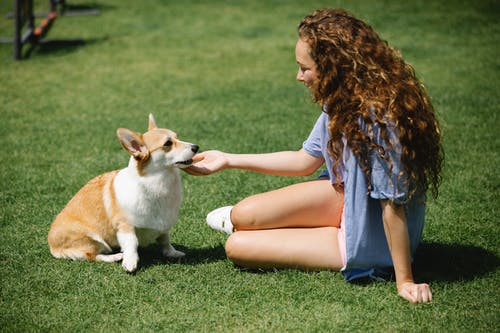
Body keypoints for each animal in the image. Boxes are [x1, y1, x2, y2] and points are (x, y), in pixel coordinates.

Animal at [47, 114, 199, 272]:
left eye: (178, 137)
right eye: (168, 143)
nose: (196, 147)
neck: (159, 182)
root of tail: (52, 246)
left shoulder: (164, 225)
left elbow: (165, 239)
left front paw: (171, 252)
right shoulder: (125, 226)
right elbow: (132, 243)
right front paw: (130, 262)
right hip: (93, 240)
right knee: (92, 255)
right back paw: (115, 257)